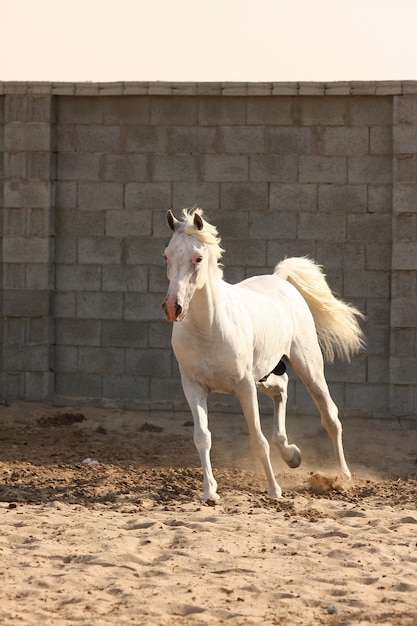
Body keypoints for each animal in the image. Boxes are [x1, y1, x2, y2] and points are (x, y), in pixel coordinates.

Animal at [161, 207, 362, 500]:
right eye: (166, 255)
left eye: (197, 258)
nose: (172, 307)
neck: (208, 329)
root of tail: (280, 279)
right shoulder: (193, 386)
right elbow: (202, 437)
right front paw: (210, 492)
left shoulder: (244, 387)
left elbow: (258, 440)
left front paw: (274, 490)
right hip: (263, 377)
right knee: (282, 388)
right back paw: (292, 455)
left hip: (307, 367)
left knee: (330, 416)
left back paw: (343, 476)